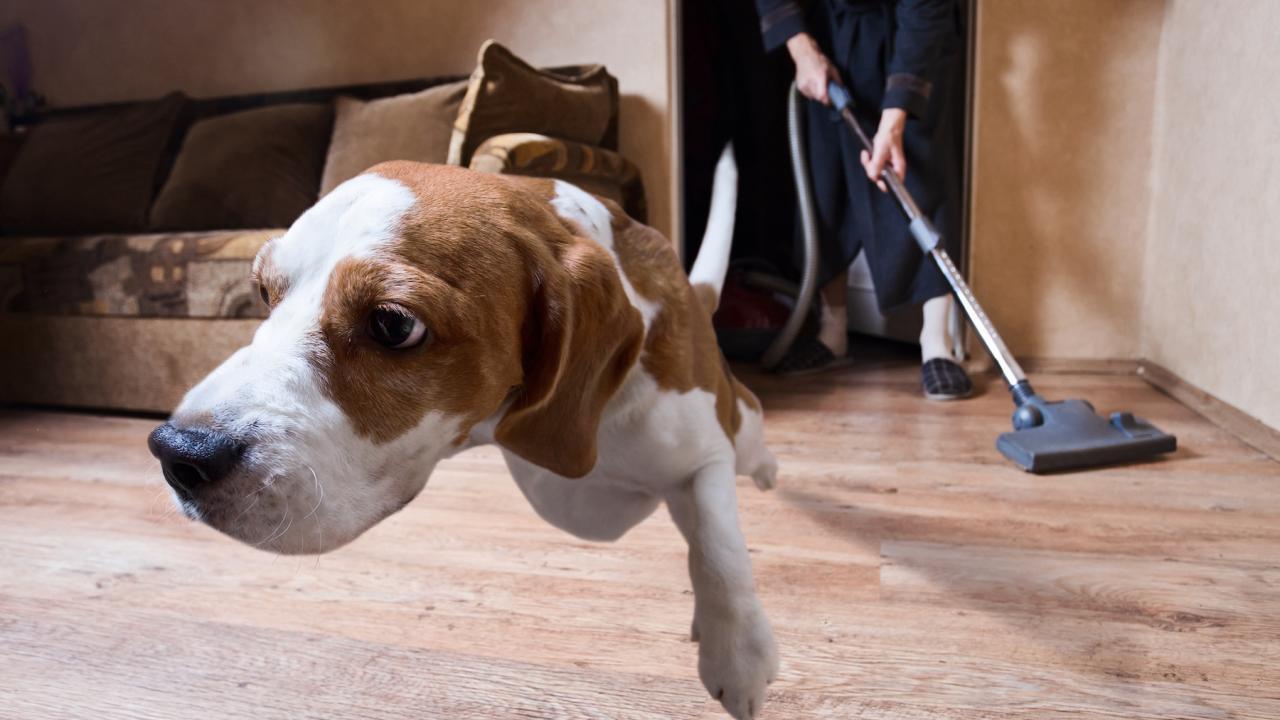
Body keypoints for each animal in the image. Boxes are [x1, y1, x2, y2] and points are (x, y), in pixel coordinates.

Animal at [145, 147, 773, 717]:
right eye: (263, 293)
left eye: (393, 324)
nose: (178, 453)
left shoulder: (704, 450)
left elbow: (717, 540)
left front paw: (738, 650)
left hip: (734, 424)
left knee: (750, 425)